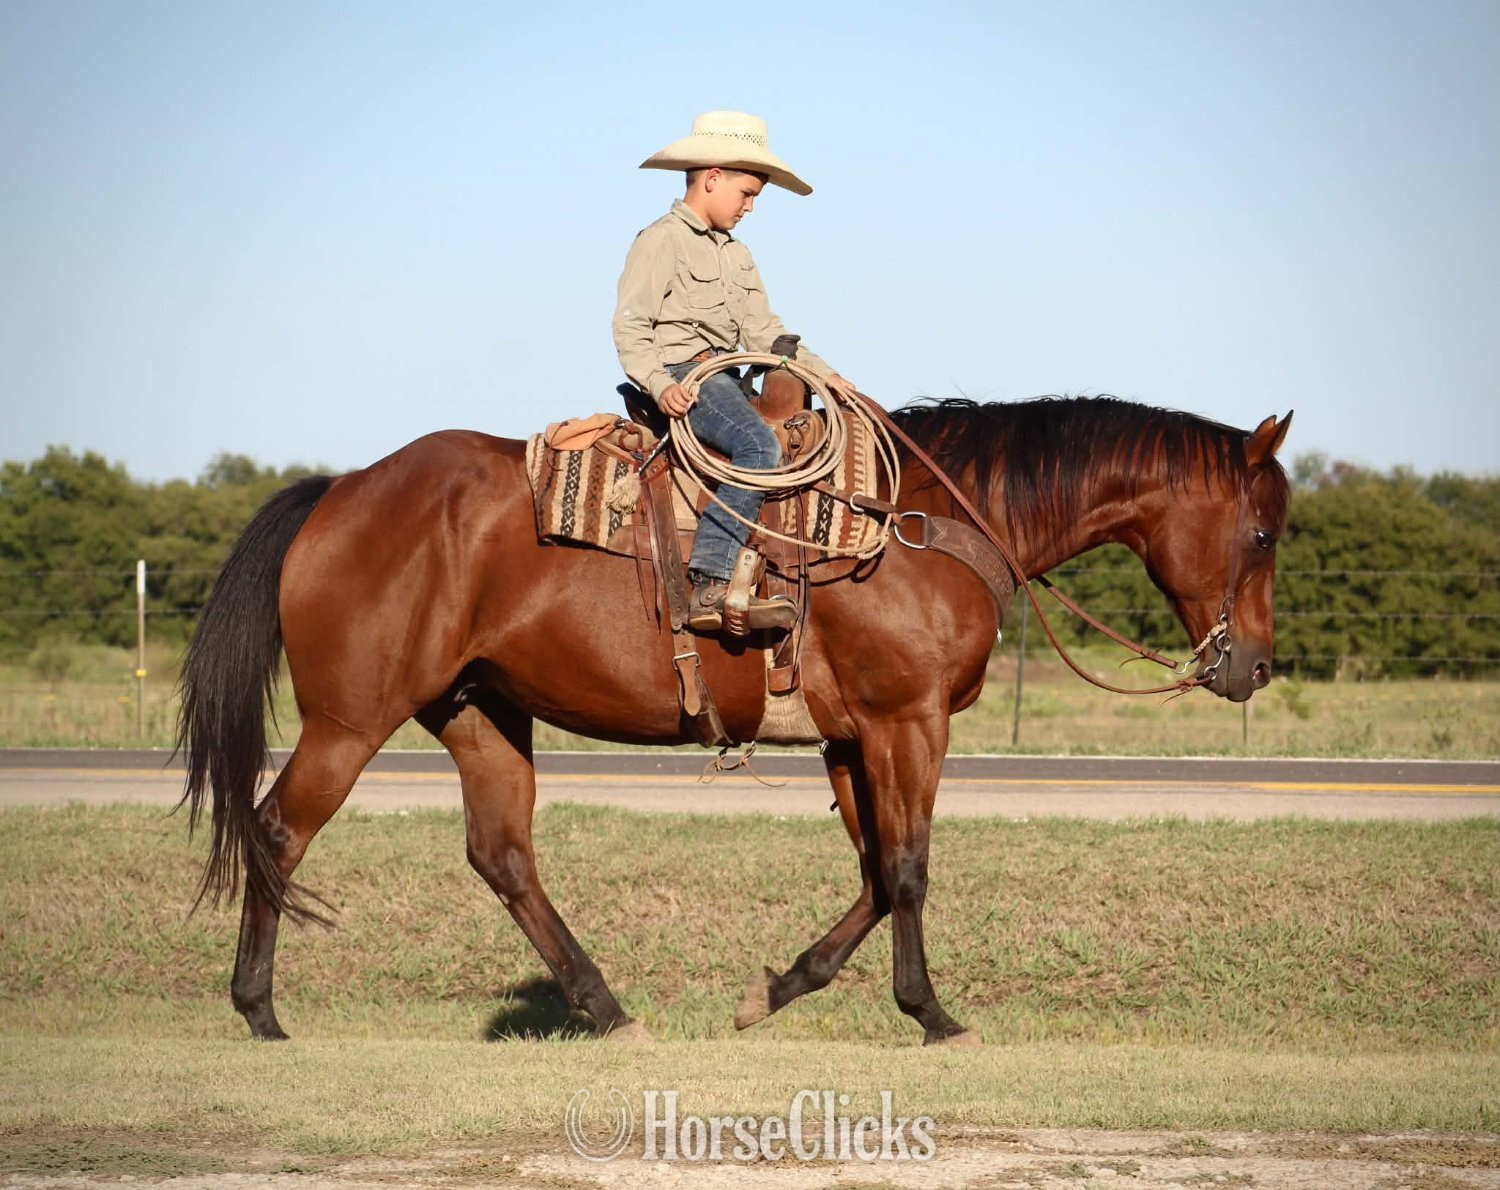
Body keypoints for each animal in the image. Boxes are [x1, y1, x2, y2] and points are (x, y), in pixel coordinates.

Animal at [177, 395, 1292, 1046]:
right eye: (1264, 531)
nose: (1253, 664)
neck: (923, 524)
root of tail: (344, 489)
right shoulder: (907, 722)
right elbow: (909, 868)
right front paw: (932, 1014)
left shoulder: (852, 738)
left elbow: (875, 873)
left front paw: (778, 988)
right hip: (350, 718)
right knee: (278, 830)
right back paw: (260, 1010)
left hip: (477, 711)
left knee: (503, 856)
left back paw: (607, 1007)